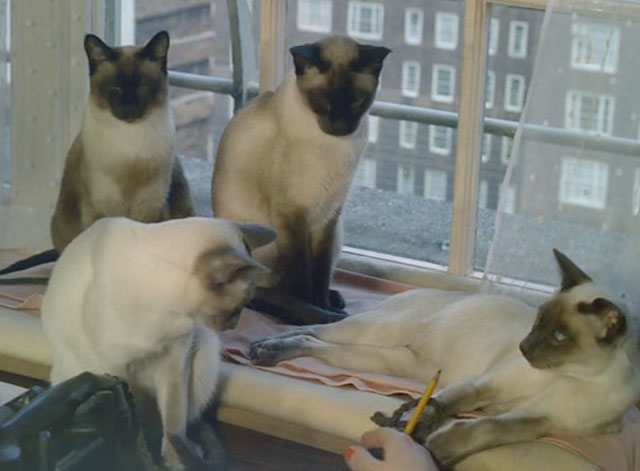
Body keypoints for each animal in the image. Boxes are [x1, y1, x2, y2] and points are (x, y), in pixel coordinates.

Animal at [40, 217, 276, 468]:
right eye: (239, 307)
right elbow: (137, 426)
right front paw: (142, 459)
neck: (170, 313)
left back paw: (192, 450)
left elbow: (173, 423)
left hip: (206, 351)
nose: (234, 324)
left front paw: (173, 462)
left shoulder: (174, 362)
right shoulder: (117, 370)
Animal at [212, 35, 390, 326]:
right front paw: (314, 312)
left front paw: (323, 302)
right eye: (323, 103)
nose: (340, 126)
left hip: (337, 234)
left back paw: (335, 300)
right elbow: (302, 280)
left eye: (356, 103)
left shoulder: (329, 215)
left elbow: (320, 271)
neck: (337, 147)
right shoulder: (293, 215)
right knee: (272, 291)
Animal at [250, 251, 640, 468]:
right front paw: (419, 428)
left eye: (558, 337)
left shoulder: (540, 420)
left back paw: (266, 349)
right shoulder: (484, 386)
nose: (524, 348)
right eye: (538, 321)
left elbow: (490, 427)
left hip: (386, 361)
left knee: (315, 342)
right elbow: (442, 403)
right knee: (314, 330)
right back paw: (262, 347)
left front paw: (438, 446)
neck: (574, 376)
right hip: (374, 333)